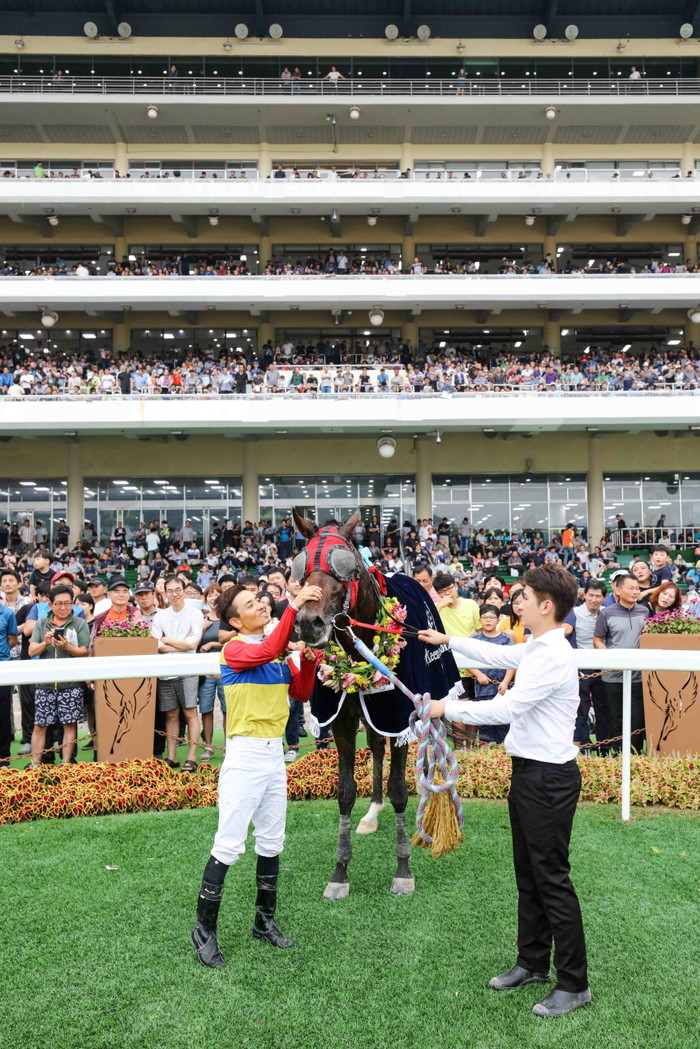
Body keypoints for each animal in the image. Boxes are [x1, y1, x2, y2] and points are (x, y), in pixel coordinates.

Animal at [291, 508, 461, 899]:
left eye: (346, 565)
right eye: (300, 567)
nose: (309, 624)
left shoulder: (401, 715)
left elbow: (400, 790)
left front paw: (403, 868)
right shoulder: (340, 719)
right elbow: (345, 792)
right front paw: (340, 872)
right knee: (375, 746)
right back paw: (372, 812)